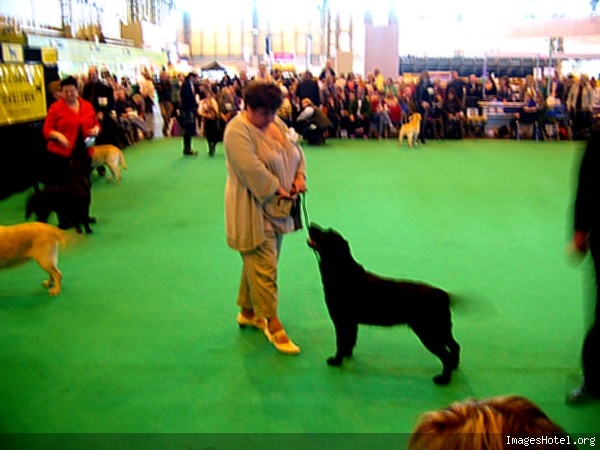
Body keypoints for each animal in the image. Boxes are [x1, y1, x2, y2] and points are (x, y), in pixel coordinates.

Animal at [308, 223, 462, 384]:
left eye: (324, 234)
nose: (311, 224)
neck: (342, 272)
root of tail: (442, 294)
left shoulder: (341, 321)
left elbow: (341, 343)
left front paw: (336, 360)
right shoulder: (351, 323)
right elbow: (350, 341)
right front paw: (347, 355)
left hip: (428, 332)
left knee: (445, 355)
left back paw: (443, 379)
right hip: (443, 329)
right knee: (455, 346)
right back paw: (455, 366)